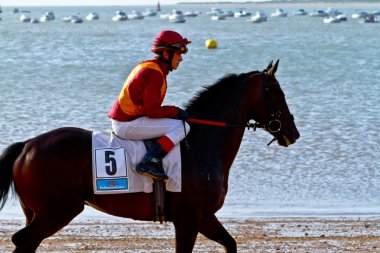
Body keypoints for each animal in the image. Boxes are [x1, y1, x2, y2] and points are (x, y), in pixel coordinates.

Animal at [0, 59, 300, 253]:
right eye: (277, 93)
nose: (293, 132)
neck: (202, 146)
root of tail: (26, 145)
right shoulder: (189, 218)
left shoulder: (204, 217)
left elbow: (231, 243)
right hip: (58, 210)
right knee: (24, 241)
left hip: (38, 212)